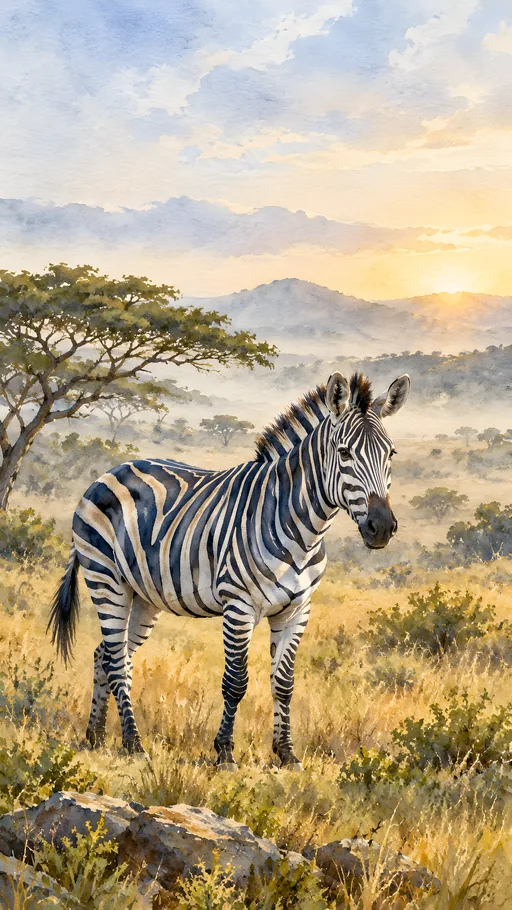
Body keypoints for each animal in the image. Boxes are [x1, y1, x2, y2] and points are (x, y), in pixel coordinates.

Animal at [48, 371, 410, 769]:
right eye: (344, 453)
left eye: (391, 454)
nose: (382, 527)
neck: (303, 529)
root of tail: (109, 472)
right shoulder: (239, 606)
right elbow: (235, 683)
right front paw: (224, 752)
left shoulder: (298, 609)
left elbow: (284, 684)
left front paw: (286, 753)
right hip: (106, 579)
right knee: (115, 662)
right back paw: (133, 743)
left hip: (143, 595)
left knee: (109, 656)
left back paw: (96, 735)